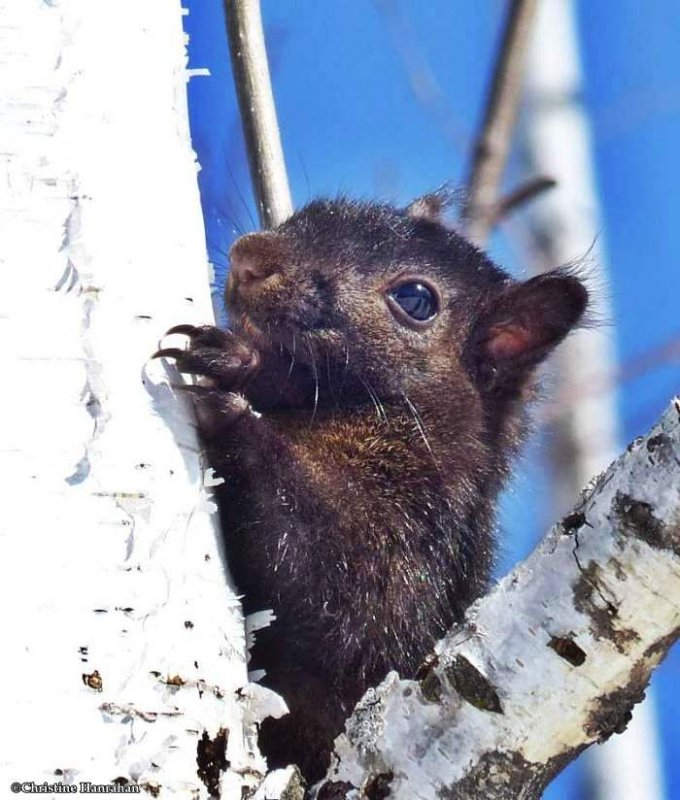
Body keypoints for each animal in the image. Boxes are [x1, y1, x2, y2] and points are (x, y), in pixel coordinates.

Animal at [157, 197, 588, 784]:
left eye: (416, 300)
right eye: (315, 210)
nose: (250, 257)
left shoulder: (415, 537)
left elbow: (338, 602)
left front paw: (230, 389)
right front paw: (239, 359)